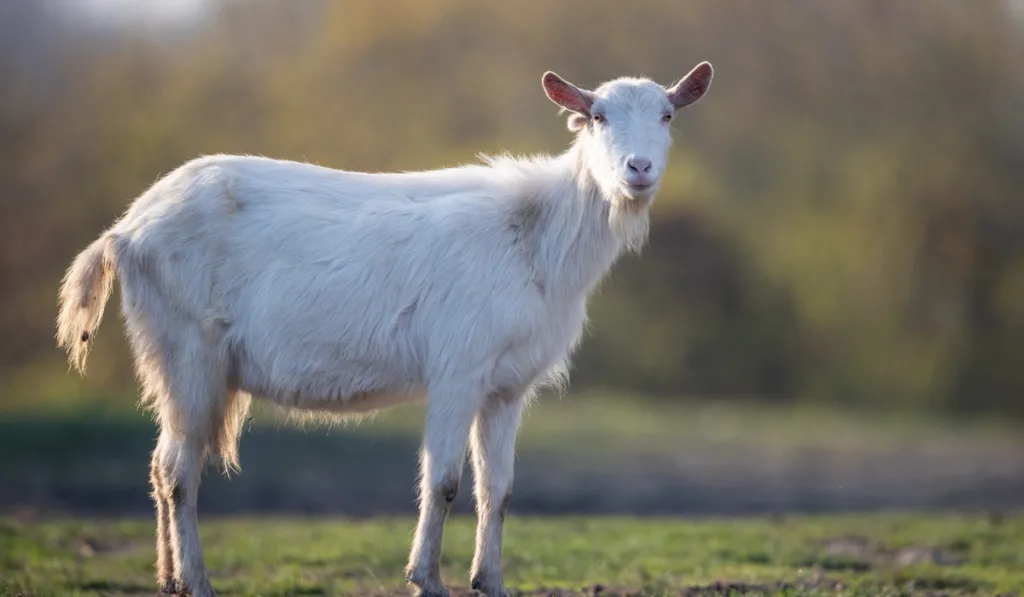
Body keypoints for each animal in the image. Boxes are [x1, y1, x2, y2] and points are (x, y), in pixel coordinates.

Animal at [56, 62, 712, 593]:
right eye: (598, 116)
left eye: (667, 114)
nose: (638, 168)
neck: (537, 236)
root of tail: (125, 230)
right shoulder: (458, 368)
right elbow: (444, 481)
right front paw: (428, 580)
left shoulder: (507, 386)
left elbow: (496, 490)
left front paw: (490, 582)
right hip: (185, 347)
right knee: (177, 471)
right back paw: (196, 581)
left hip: (172, 359)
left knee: (162, 463)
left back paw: (168, 579)